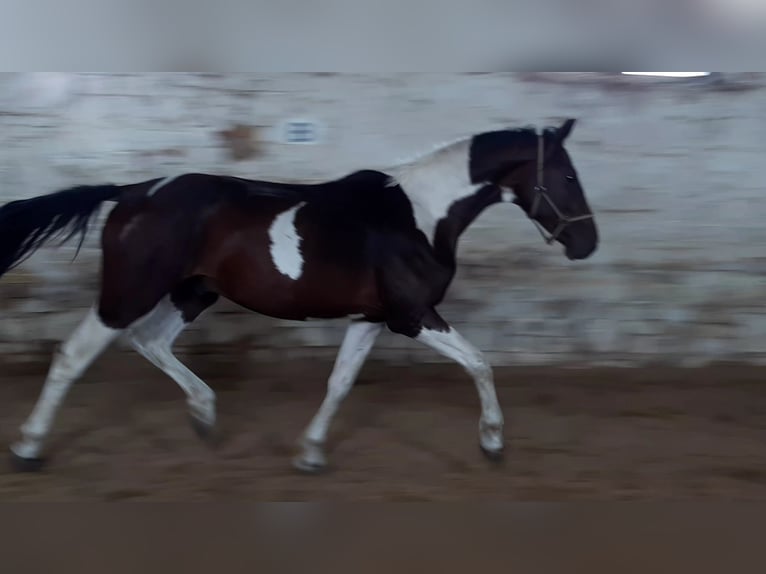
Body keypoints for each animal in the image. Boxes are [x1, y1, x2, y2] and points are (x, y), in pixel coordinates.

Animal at [0, 118, 597, 473]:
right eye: (567, 176)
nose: (587, 244)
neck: (420, 216)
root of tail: (131, 192)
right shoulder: (412, 315)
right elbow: (479, 363)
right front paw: (492, 442)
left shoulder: (371, 317)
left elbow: (340, 382)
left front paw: (309, 453)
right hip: (131, 290)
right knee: (75, 354)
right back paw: (29, 446)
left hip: (194, 292)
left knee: (151, 342)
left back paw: (205, 416)